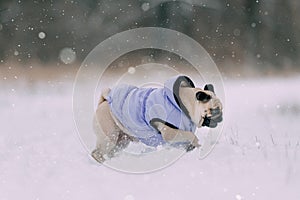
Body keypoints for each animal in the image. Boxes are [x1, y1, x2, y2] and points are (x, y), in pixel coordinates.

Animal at [91, 75, 223, 162]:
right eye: (214, 110)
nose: (221, 116)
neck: (186, 103)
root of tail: (104, 101)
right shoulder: (170, 133)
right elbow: (191, 136)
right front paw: (197, 145)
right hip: (110, 137)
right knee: (97, 153)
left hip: (122, 141)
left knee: (111, 152)